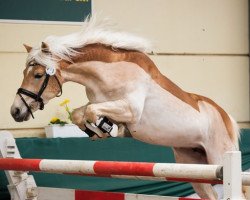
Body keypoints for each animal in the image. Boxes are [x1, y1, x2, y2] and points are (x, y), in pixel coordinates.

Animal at [10, 18, 242, 199]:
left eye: (38, 75)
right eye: (23, 72)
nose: (15, 111)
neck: (107, 74)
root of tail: (226, 117)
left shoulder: (130, 110)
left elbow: (92, 112)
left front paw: (107, 129)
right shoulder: (99, 102)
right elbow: (79, 113)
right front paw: (98, 131)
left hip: (218, 158)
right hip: (193, 167)